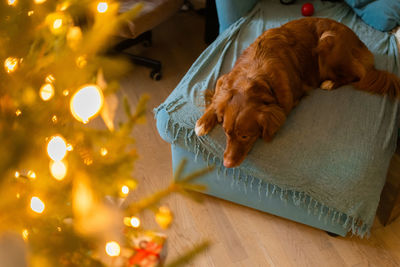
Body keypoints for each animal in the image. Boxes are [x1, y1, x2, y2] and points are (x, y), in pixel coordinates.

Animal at [195, 16, 400, 169]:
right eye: (226, 132)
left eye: (245, 136)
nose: (227, 164)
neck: (253, 76)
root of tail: (360, 44)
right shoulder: (225, 79)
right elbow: (217, 99)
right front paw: (203, 122)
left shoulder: (287, 100)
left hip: (328, 41)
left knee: (357, 75)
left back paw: (329, 83)